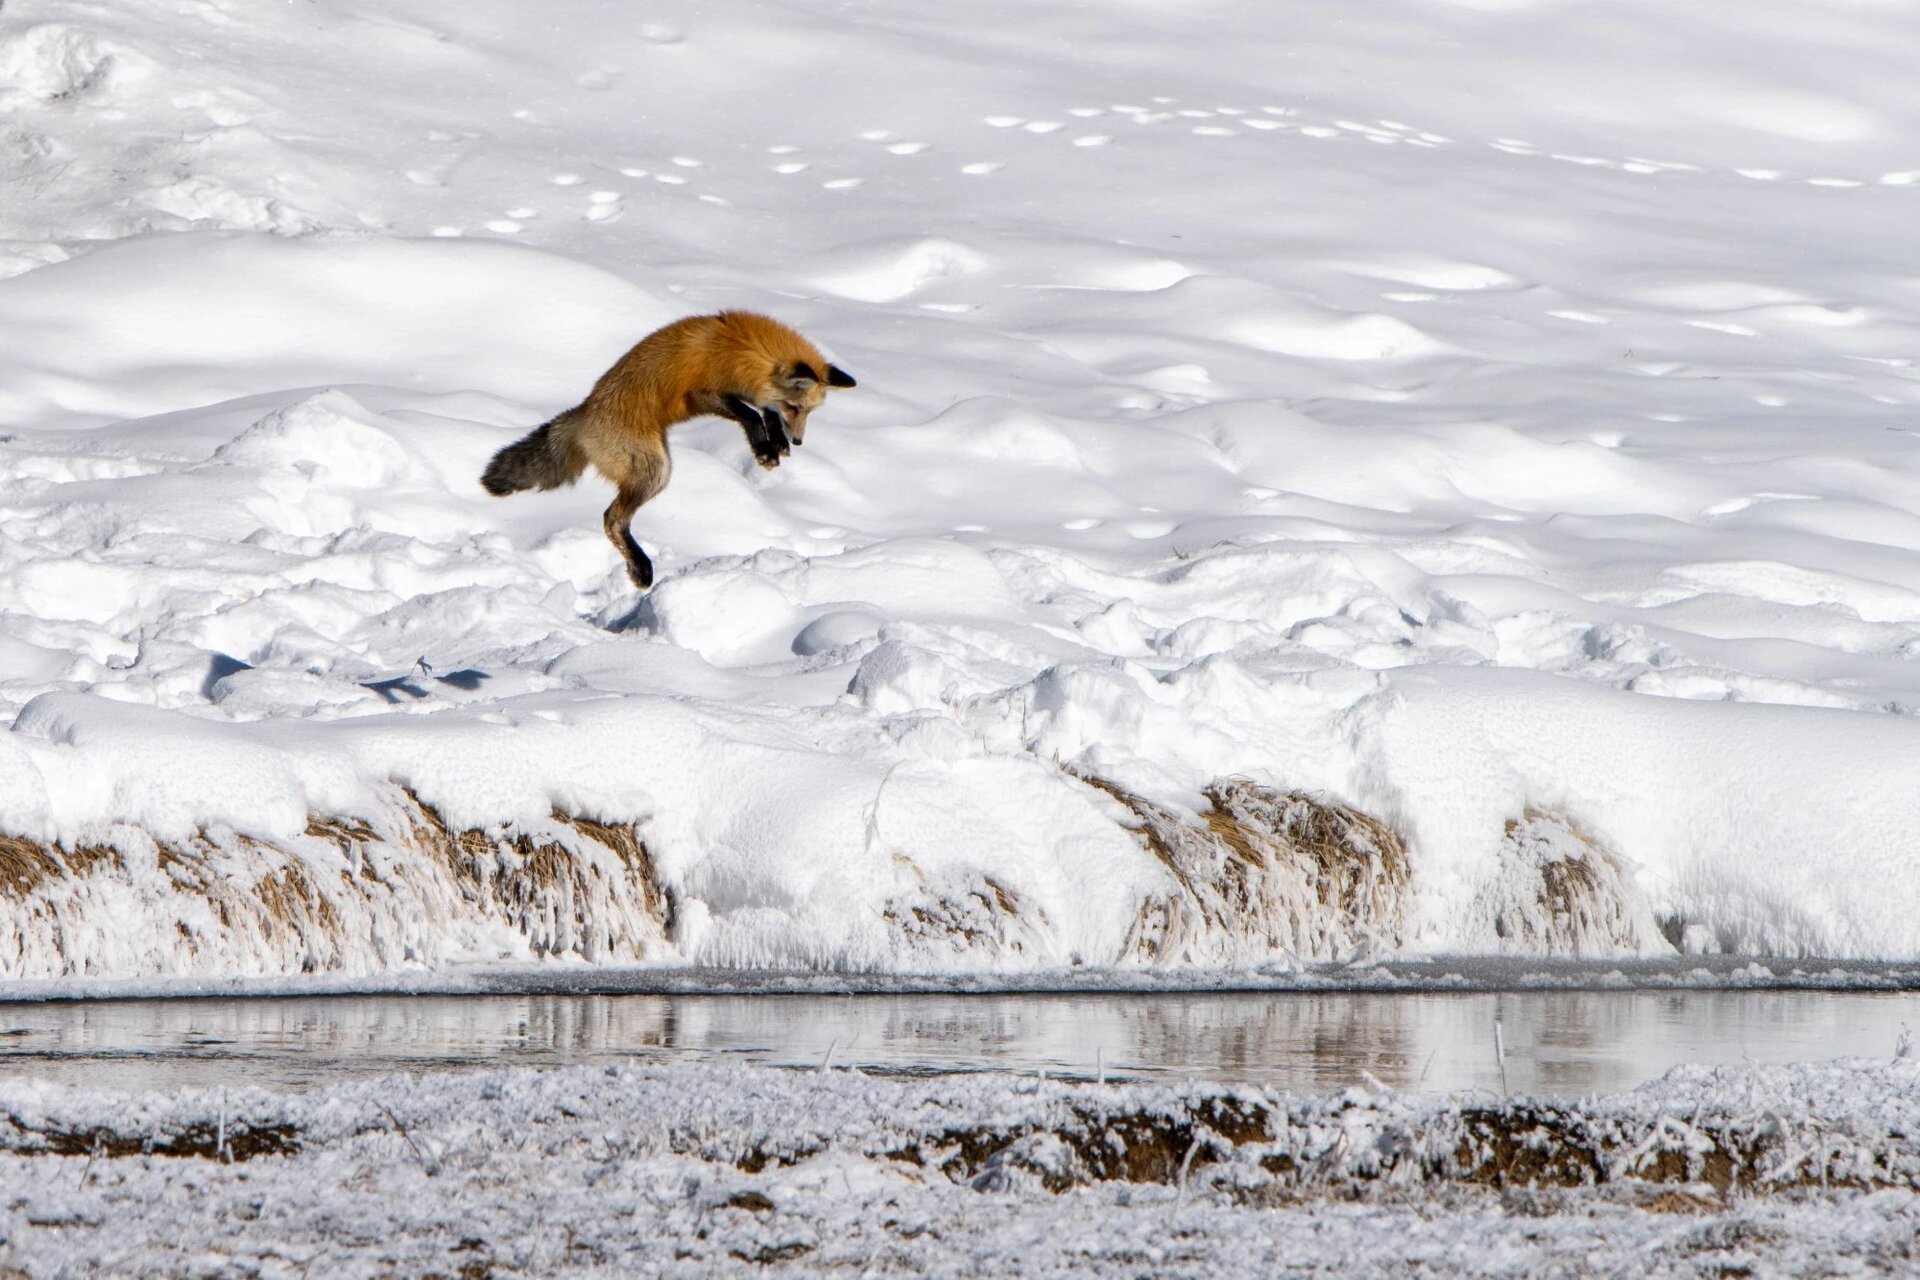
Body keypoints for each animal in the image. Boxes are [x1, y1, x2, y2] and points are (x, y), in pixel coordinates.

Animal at [480, 310, 856, 589]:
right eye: (795, 407)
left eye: (808, 412)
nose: (799, 441)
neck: (741, 349)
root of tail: (583, 412)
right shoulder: (702, 394)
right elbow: (749, 414)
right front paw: (765, 446)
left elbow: (763, 411)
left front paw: (774, 443)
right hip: (654, 469)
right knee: (612, 519)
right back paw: (641, 569)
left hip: (658, 469)